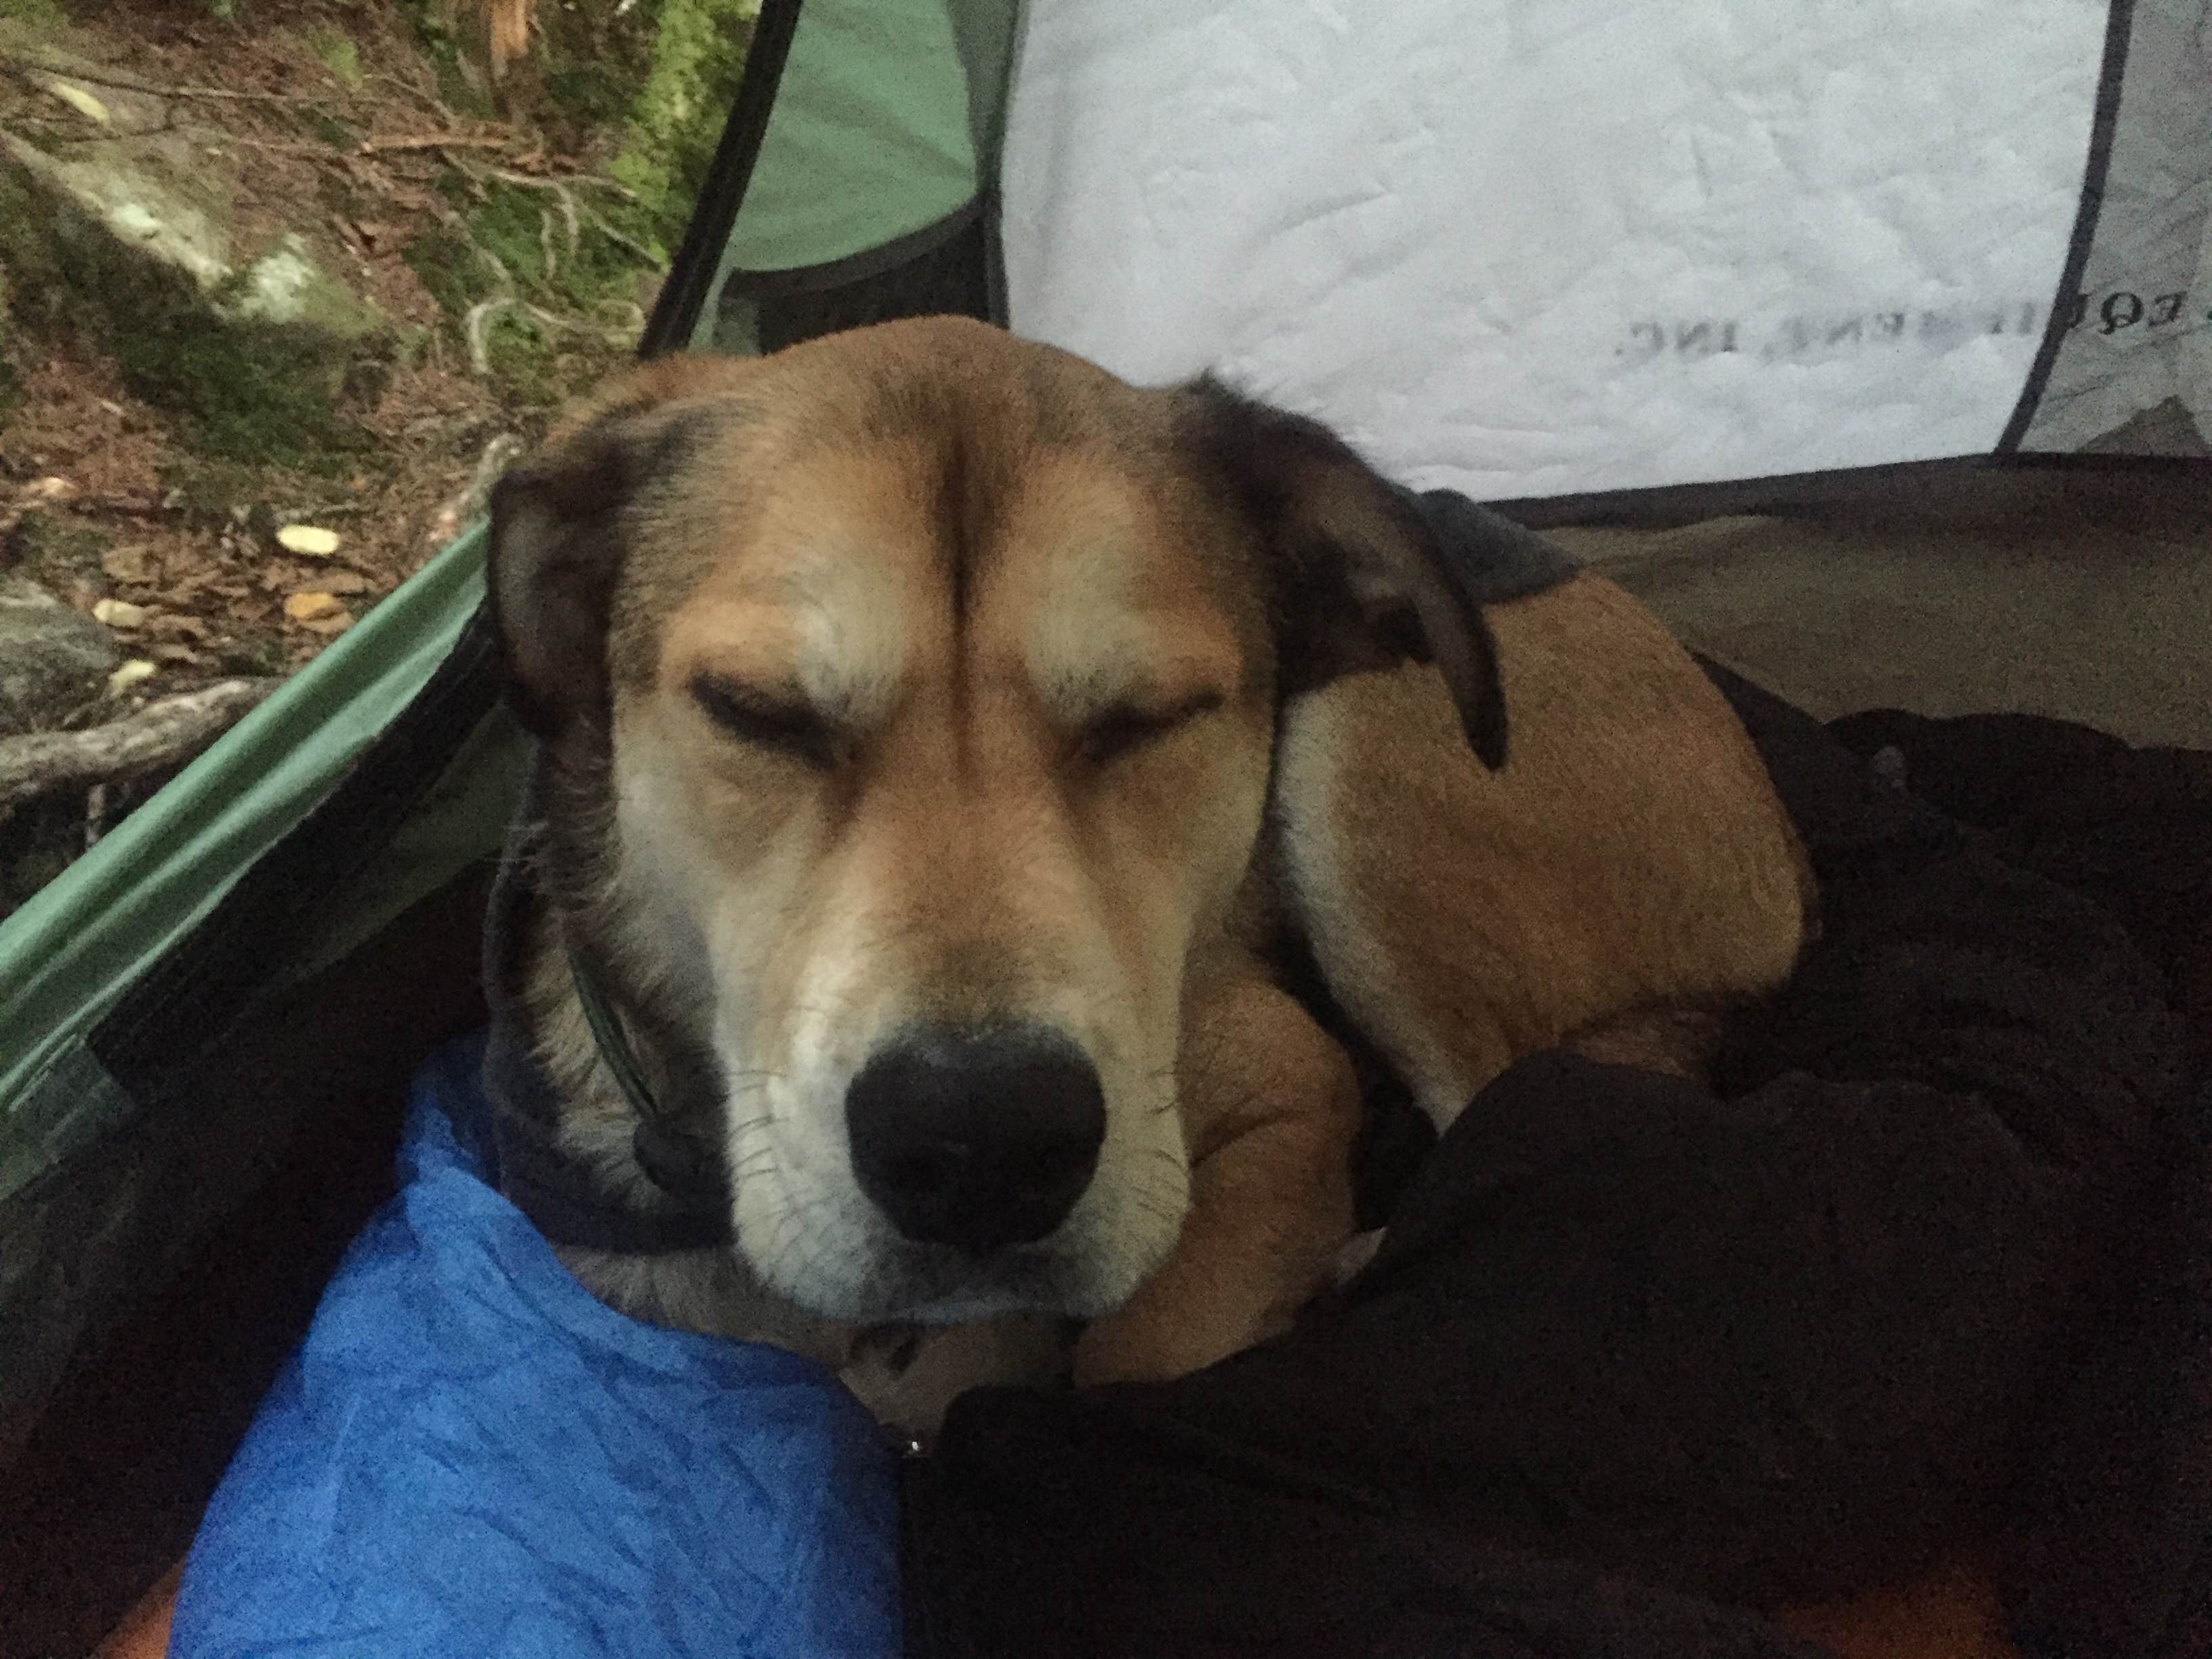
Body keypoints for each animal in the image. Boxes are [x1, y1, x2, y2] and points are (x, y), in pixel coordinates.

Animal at [484, 314, 1814, 1433]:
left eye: (1153, 716)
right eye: (754, 712)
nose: (984, 1145)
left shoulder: (1282, 1080)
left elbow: (1133, 1352)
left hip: (1358, 748)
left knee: (1503, 1118)